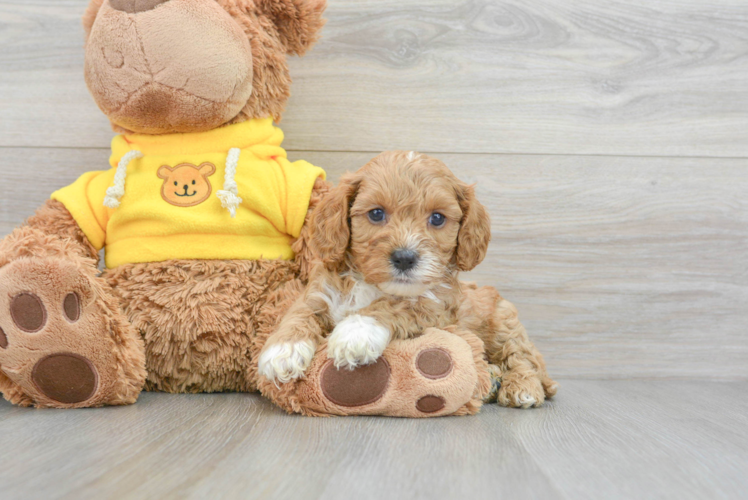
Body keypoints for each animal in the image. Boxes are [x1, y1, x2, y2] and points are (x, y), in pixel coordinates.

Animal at [260, 151, 560, 406]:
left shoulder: (434, 308)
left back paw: (522, 388)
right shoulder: (320, 292)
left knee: (524, 358)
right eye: (376, 213)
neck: (372, 285)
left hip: (503, 324)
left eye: (437, 218)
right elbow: (299, 312)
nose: (404, 258)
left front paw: (355, 332)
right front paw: (282, 351)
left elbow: (396, 305)